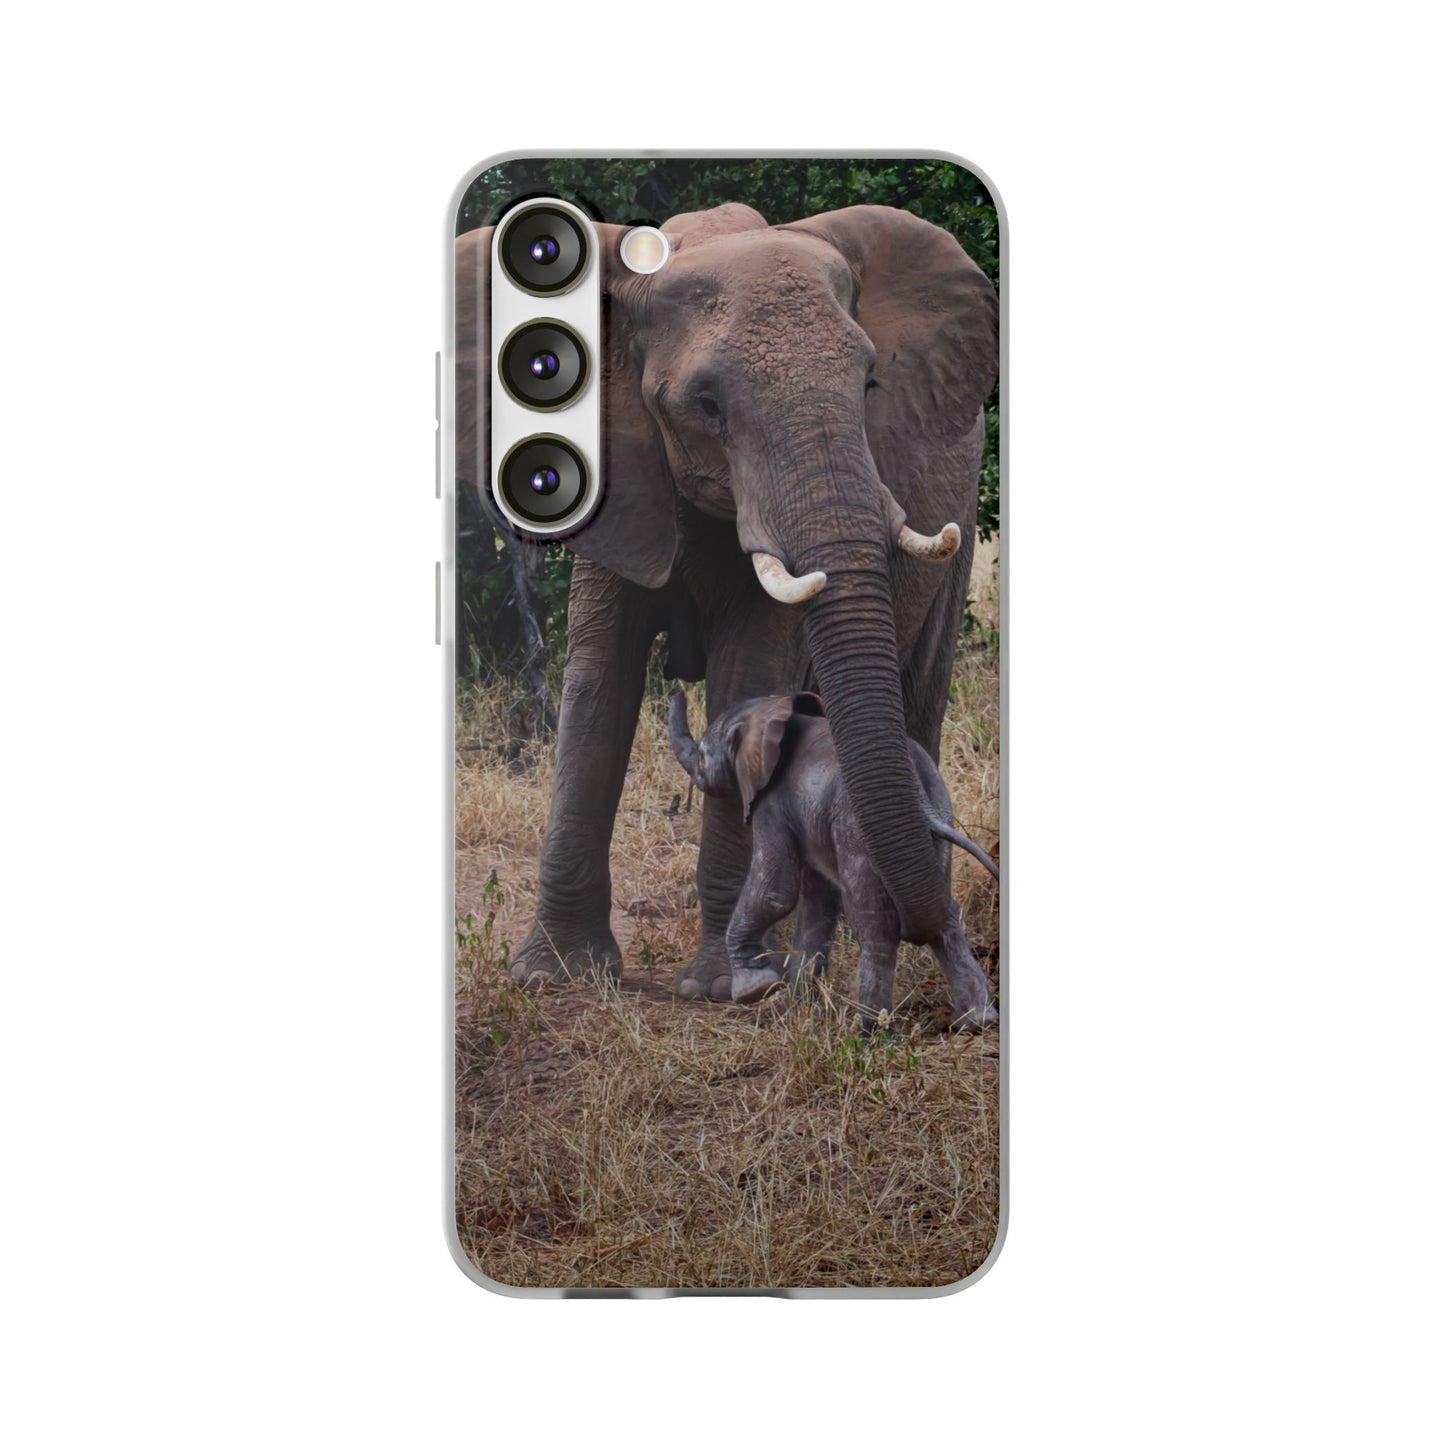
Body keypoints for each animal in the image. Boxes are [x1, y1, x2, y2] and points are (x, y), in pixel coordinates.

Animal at [668, 691, 999, 1031]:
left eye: (703, 755)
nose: (676, 693)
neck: (772, 710)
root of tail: (918, 790)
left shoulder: (771, 804)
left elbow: (774, 893)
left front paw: (755, 988)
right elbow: (818, 903)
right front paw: (796, 1012)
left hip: (856, 830)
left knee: (875, 922)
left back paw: (870, 1030)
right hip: (940, 815)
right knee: (944, 916)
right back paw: (977, 1021)